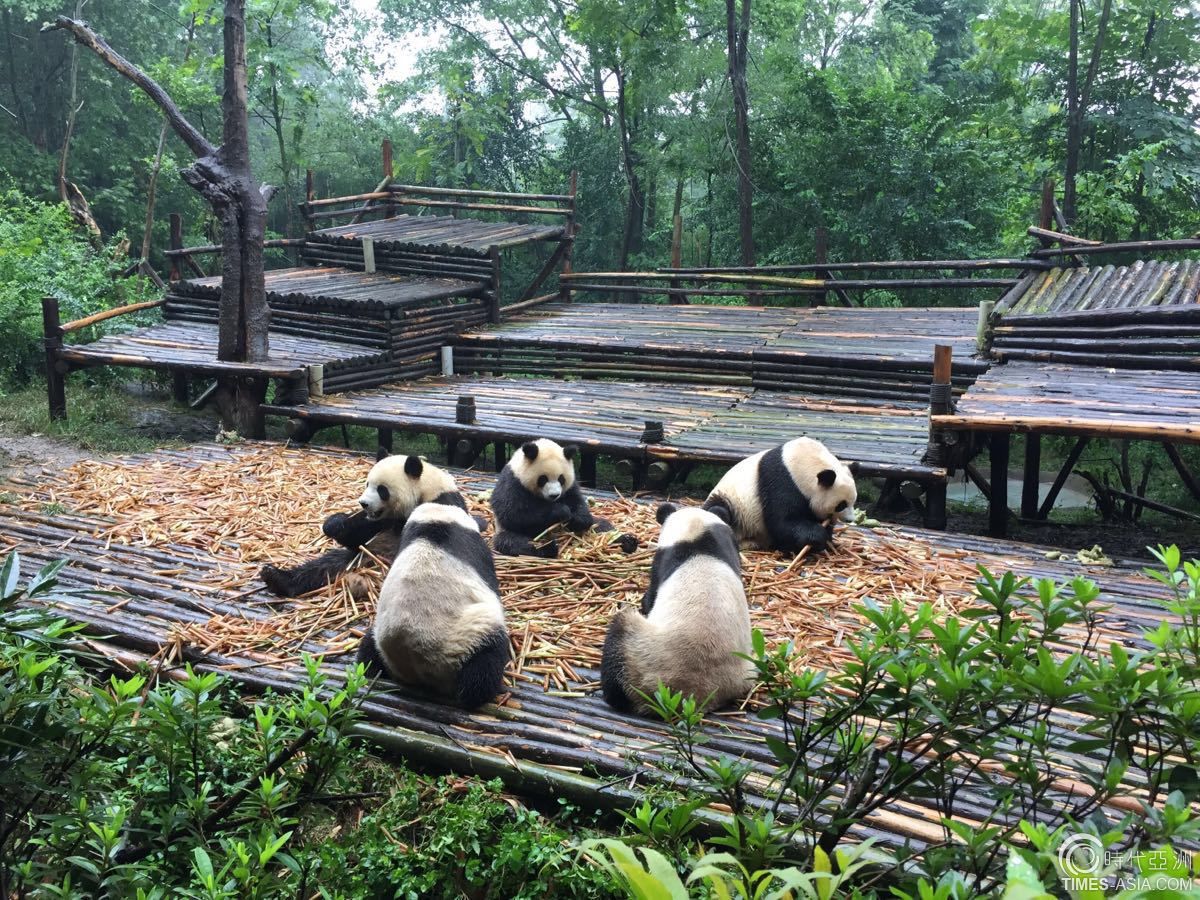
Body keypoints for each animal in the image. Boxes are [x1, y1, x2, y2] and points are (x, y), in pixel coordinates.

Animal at [261, 451, 472, 600]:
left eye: (382, 490)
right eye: (367, 484)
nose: (363, 503)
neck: (424, 489)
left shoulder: (442, 503)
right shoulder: (381, 521)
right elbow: (357, 534)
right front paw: (334, 523)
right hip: (357, 557)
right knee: (323, 566)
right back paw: (276, 577)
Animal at [352, 504, 508, 710]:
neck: (435, 522)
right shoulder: (476, 549)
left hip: (380, 631)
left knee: (368, 651)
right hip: (467, 636)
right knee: (483, 669)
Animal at [489, 441, 638, 561]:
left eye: (561, 478)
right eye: (543, 479)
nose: (554, 495)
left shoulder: (570, 487)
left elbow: (577, 502)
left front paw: (578, 519)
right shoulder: (513, 482)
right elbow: (514, 513)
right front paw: (561, 511)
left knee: (602, 527)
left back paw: (628, 541)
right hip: (509, 532)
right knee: (513, 542)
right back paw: (547, 548)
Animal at [600, 504, 748, 715]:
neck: (698, 540)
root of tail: (698, 695)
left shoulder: (664, 559)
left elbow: (651, 596)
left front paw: (643, 602)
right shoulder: (728, 544)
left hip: (642, 656)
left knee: (620, 635)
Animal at [700, 436, 859, 556]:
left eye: (854, 501)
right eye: (841, 505)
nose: (851, 520)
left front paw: (828, 541)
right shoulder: (781, 483)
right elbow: (784, 521)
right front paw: (816, 538)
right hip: (733, 504)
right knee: (719, 510)